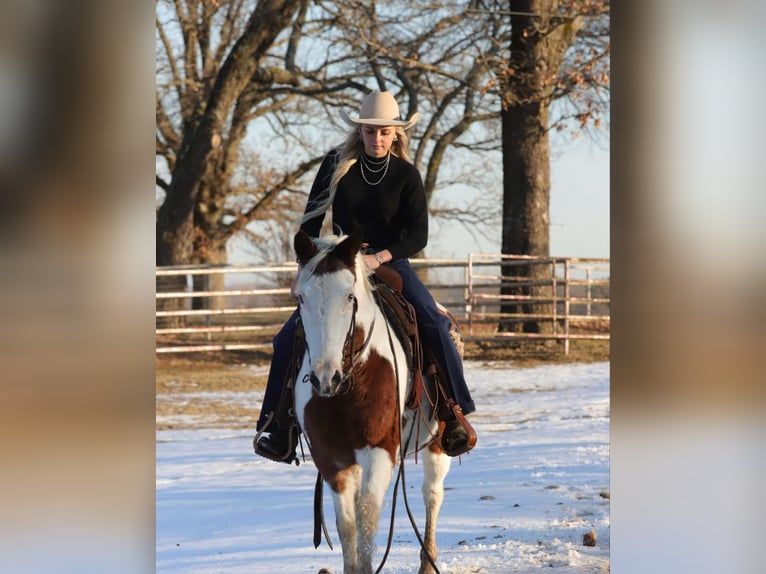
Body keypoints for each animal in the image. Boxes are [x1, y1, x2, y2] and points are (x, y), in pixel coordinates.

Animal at [292, 231, 450, 574]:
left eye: (349, 296)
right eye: (301, 298)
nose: (325, 377)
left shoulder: (379, 451)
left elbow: (367, 520)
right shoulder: (331, 459)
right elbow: (347, 525)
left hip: (437, 444)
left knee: (432, 493)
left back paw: (428, 561)